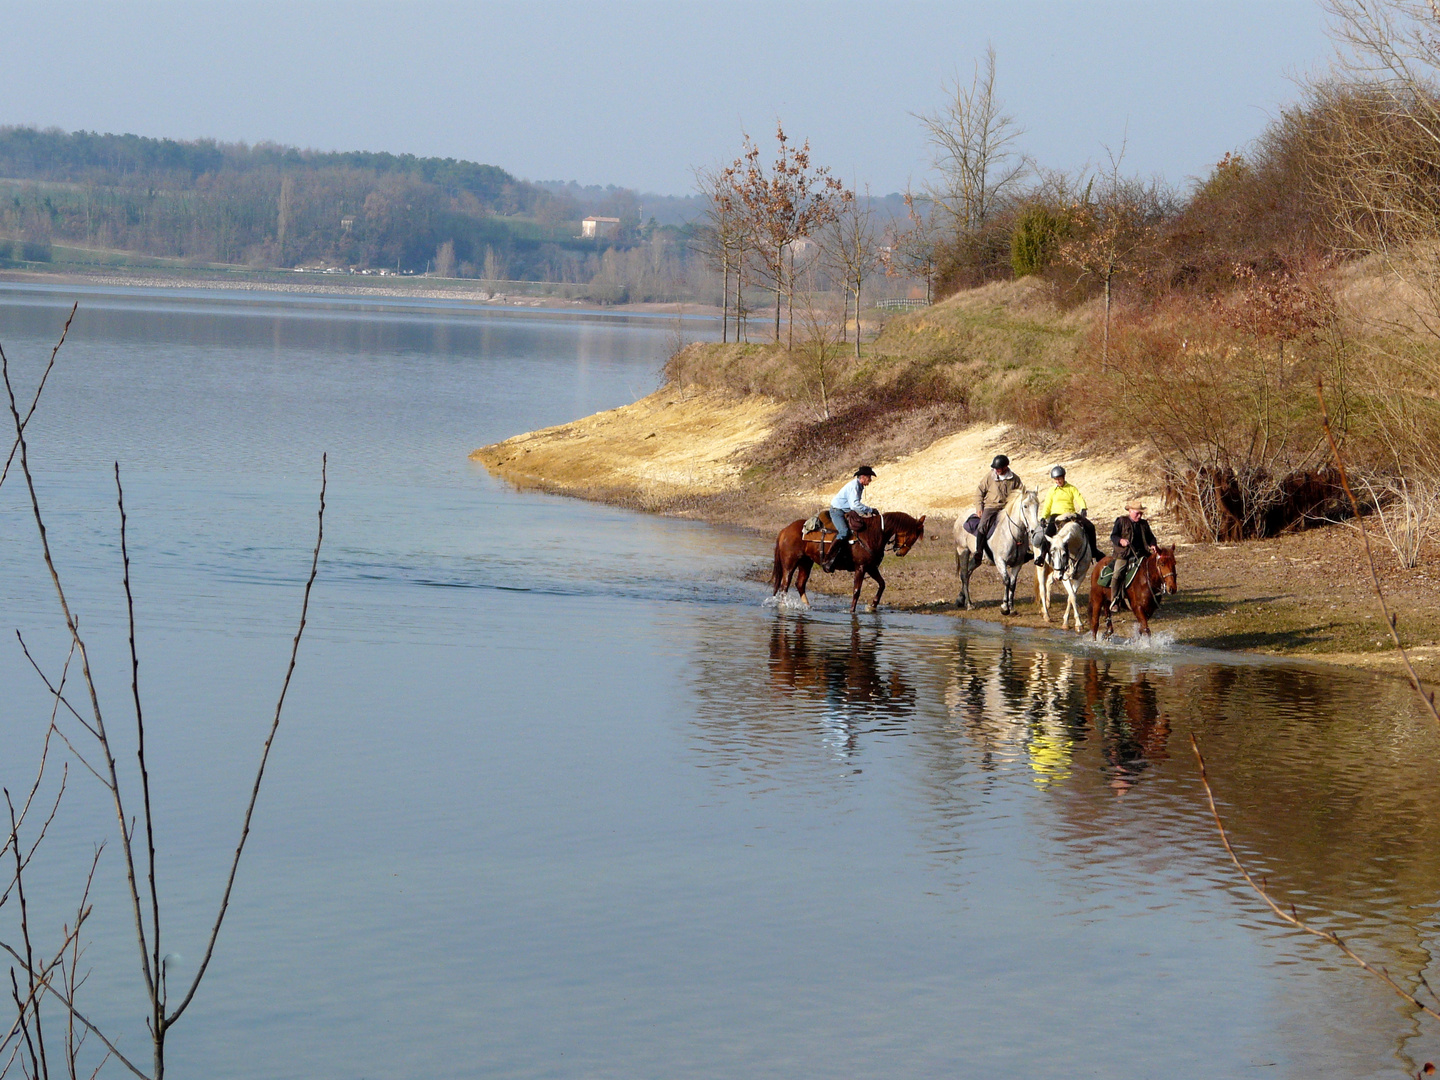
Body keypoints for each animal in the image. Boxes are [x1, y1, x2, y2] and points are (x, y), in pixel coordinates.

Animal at [771, 512, 927, 613]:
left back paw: (807, 607)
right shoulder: (861, 568)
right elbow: (856, 591)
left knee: (800, 584)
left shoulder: (871, 568)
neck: (872, 534)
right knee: (784, 586)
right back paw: (783, 606)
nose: (900, 552)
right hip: (790, 564)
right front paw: (852, 611)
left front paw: (873, 606)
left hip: (806, 563)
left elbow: (882, 584)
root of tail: (785, 530)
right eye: (913, 536)